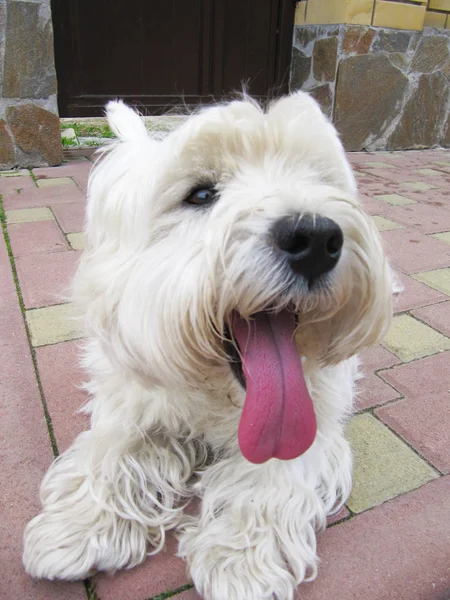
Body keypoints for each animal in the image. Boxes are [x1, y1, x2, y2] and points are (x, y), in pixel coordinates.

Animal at [22, 91, 392, 596]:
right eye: (200, 194)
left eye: (317, 180)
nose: (316, 237)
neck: (220, 396)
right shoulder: (134, 398)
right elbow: (113, 448)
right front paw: (77, 528)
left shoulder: (312, 424)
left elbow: (274, 474)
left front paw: (242, 562)